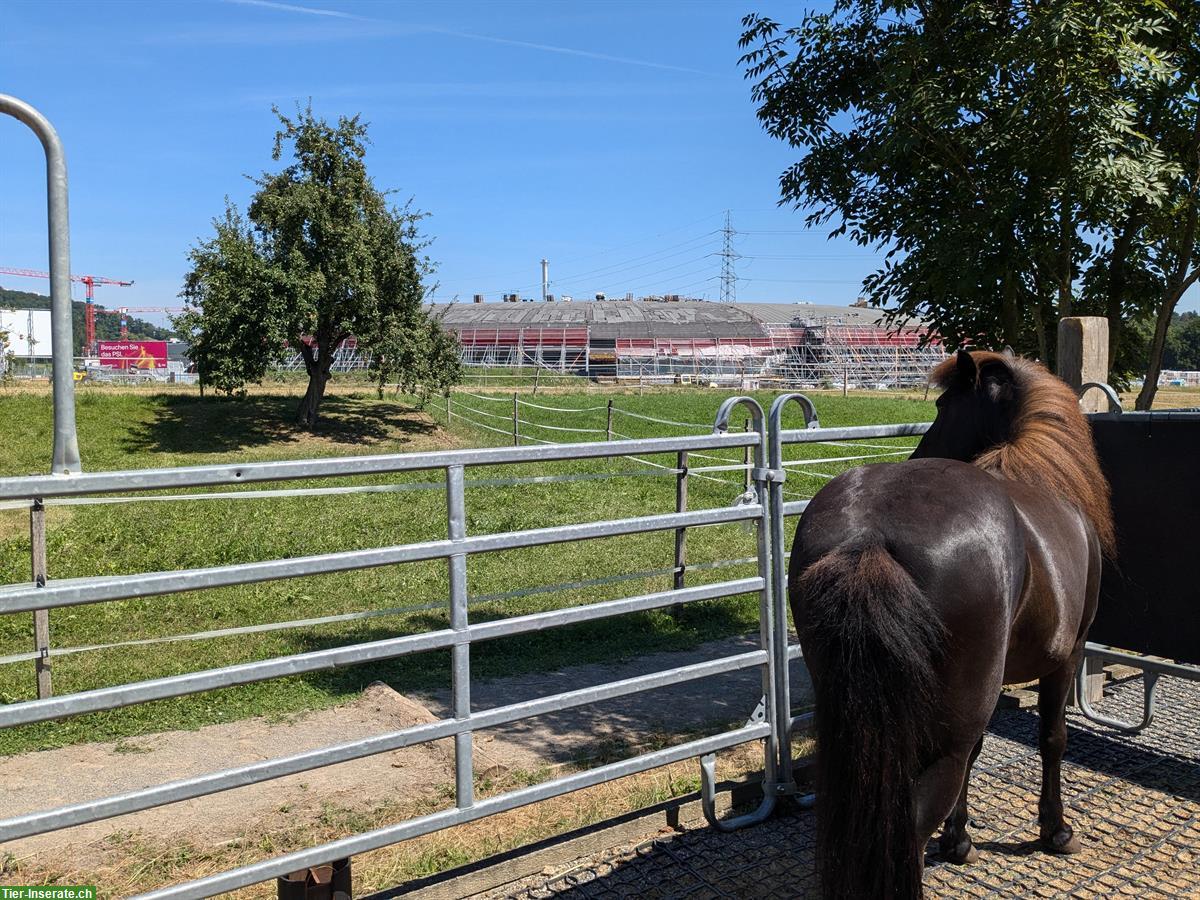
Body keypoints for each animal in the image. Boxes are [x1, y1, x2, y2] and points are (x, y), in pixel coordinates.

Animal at [792, 352, 1108, 900]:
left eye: (943, 407)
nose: (921, 450)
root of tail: (868, 536)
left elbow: (983, 755)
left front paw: (959, 840)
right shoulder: (1068, 656)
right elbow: (1053, 739)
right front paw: (1056, 830)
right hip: (941, 738)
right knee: (914, 825)